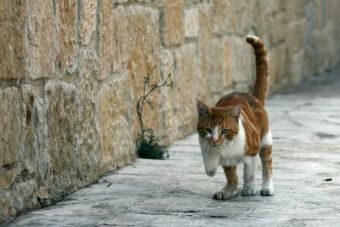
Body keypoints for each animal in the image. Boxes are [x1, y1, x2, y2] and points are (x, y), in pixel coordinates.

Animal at [197, 34, 274, 200]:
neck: (227, 148)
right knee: (232, 175)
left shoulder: (252, 152)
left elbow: (249, 173)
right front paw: (213, 171)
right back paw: (228, 190)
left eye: (225, 130)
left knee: (267, 163)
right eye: (208, 129)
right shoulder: (209, 148)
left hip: (265, 141)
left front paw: (249, 188)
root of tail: (252, 97)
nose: (214, 139)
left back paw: (267, 187)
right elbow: (227, 173)